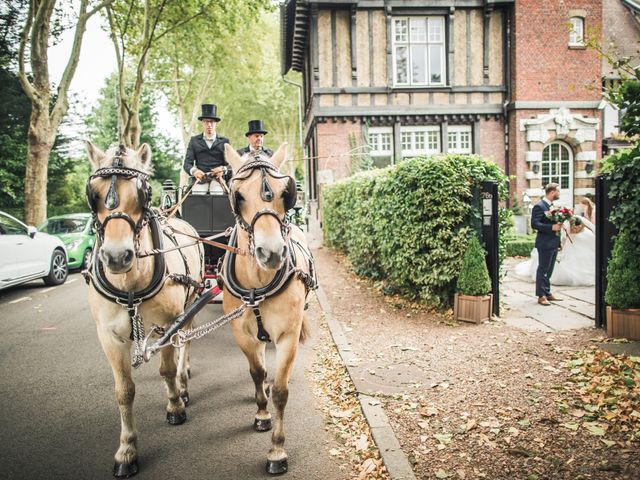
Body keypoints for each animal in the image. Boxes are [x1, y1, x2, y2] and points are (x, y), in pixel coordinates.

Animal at [84, 142, 201, 476]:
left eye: (143, 192)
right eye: (93, 192)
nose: (116, 257)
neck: (130, 286)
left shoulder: (167, 323)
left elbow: (167, 369)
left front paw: (175, 406)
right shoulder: (109, 337)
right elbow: (124, 391)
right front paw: (126, 450)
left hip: (189, 303)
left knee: (185, 342)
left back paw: (183, 384)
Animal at [222, 143, 318, 476]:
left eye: (284, 193)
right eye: (238, 195)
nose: (272, 252)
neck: (257, 281)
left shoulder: (288, 335)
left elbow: (280, 390)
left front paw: (277, 450)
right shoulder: (241, 333)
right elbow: (256, 371)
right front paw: (262, 412)